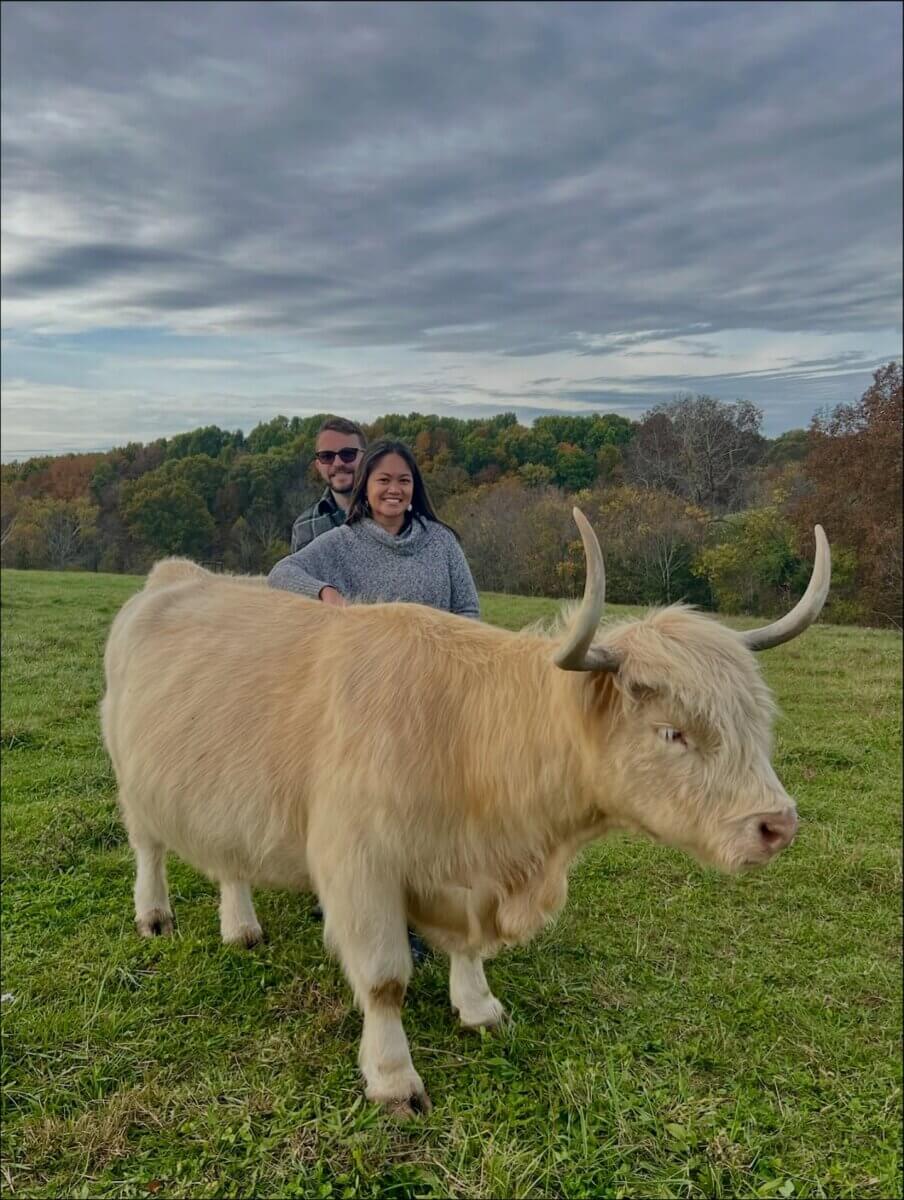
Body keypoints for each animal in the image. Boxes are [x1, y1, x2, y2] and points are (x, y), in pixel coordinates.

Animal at [100, 509, 830, 1117]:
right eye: (673, 732)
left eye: (755, 722)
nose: (777, 825)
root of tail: (177, 575)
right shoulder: (359, 868)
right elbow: (385, 981)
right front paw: (394, 1079)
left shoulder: (463, 872)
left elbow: (469, 950)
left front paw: (480, 1008)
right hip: (134, 781)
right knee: (149, 849)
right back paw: (155, 916)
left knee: (232, 861)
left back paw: (242, 927)